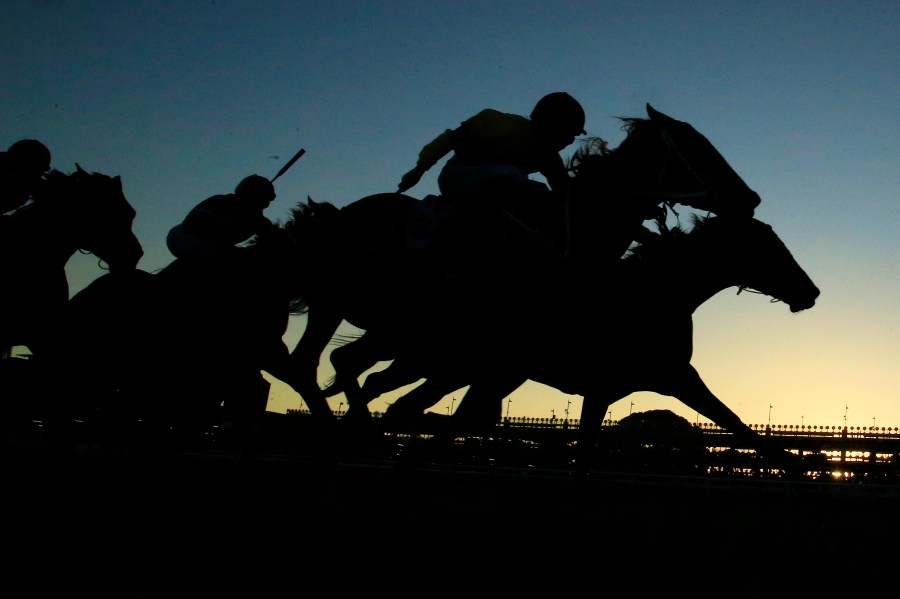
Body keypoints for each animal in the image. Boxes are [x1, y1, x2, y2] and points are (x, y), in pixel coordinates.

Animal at [286, 104, 760, 422]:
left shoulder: (496, 360)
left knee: (336, 366)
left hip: (387, 326)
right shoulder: (494, 356)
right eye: (698, 148)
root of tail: (336, 215)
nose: (751, 198)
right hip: (345, 308)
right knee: (313, 366)